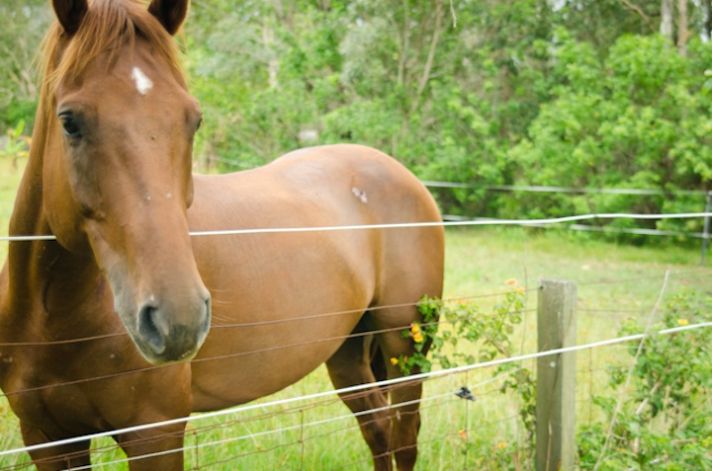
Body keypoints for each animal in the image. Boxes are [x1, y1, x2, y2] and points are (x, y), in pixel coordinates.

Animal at [0, 1, 444, 469]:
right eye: (70, 122)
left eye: (193, 120)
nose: (178, 319)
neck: (54, 318)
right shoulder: (47, 439)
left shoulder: (154, 434)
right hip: (346, 351)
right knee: (378, 428)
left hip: (405, 346)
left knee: (403, 438)